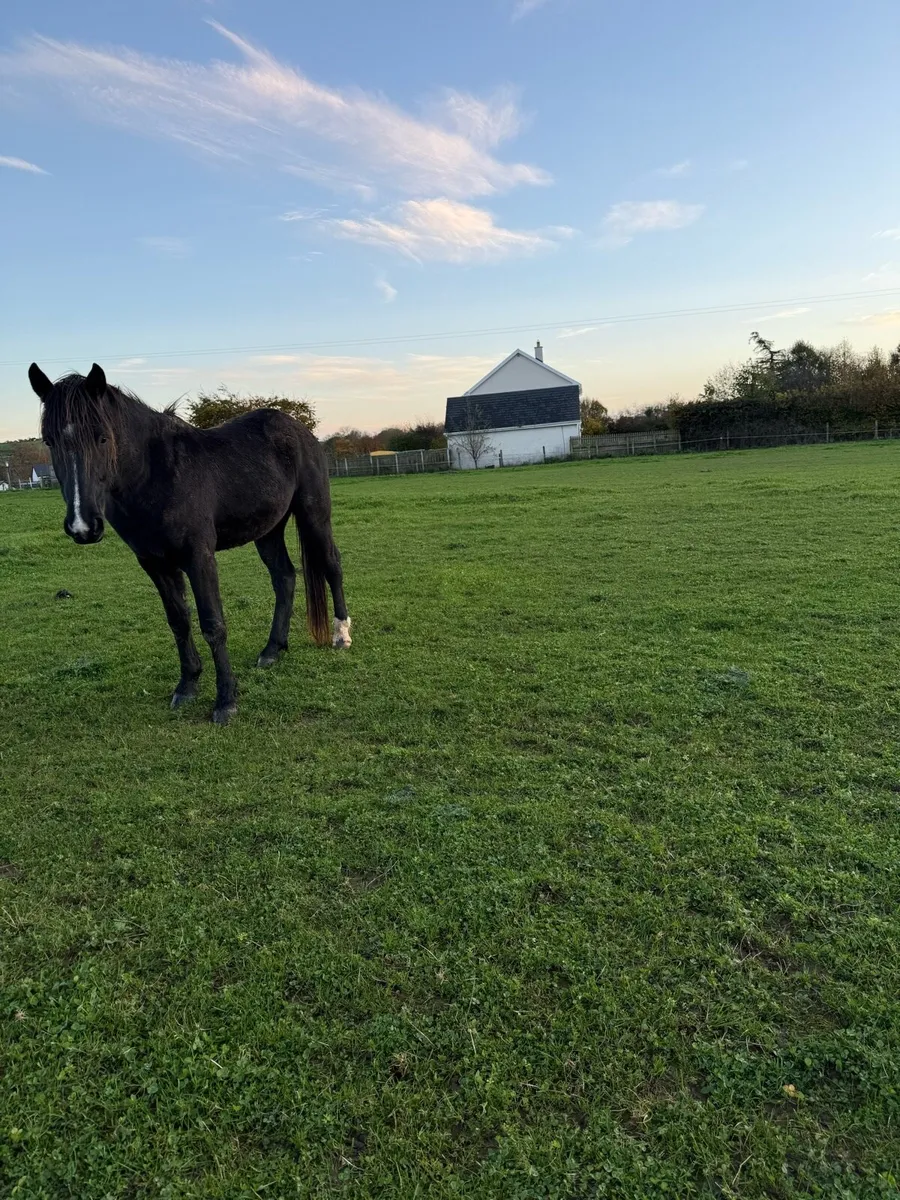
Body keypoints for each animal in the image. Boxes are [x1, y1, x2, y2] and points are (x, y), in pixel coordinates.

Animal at [28, 362, 351, 725]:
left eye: (102, 437)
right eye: (50, 440)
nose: (83, 526)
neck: (158, 475)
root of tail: (299, 429)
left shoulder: (199, 558)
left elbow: (212, 624)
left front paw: (225, 701)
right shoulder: (154, 563)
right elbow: (179, 622)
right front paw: (187, 685)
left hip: (314, 515)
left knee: (332, 564)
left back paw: (341, 634)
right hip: (268, 531)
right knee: (284, 577)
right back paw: (272, 650)